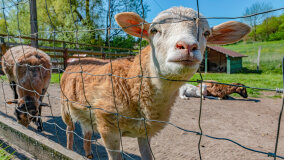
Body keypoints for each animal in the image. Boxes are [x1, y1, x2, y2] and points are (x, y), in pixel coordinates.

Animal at [60, 6, 251, 159]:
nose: (188, 46)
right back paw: (69, 150)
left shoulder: (145, 132)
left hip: (87, 113)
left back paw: (88, 154)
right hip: (65, 107)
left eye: (206, 33)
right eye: (153, 30)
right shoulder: (108, 129)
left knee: (86, 133)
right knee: (69, 131)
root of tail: (75, 60)